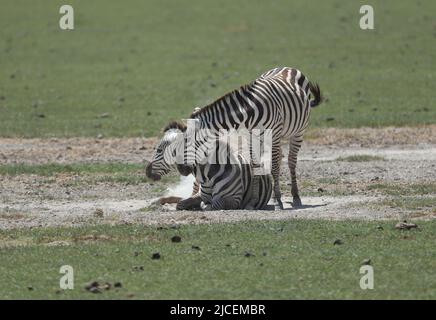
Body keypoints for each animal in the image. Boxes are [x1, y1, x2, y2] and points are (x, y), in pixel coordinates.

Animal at [148, 66, 322, 209]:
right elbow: (254, 165)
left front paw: (277, 200)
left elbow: (273, 167)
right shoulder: (250, 135)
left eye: (186, 143)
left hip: (298, 131)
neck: (249, 111)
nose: (183, 170)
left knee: (291, 160)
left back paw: (295, 196)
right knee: (279, 158)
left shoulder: (274, 133)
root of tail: (288, 68)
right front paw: (253, 201)